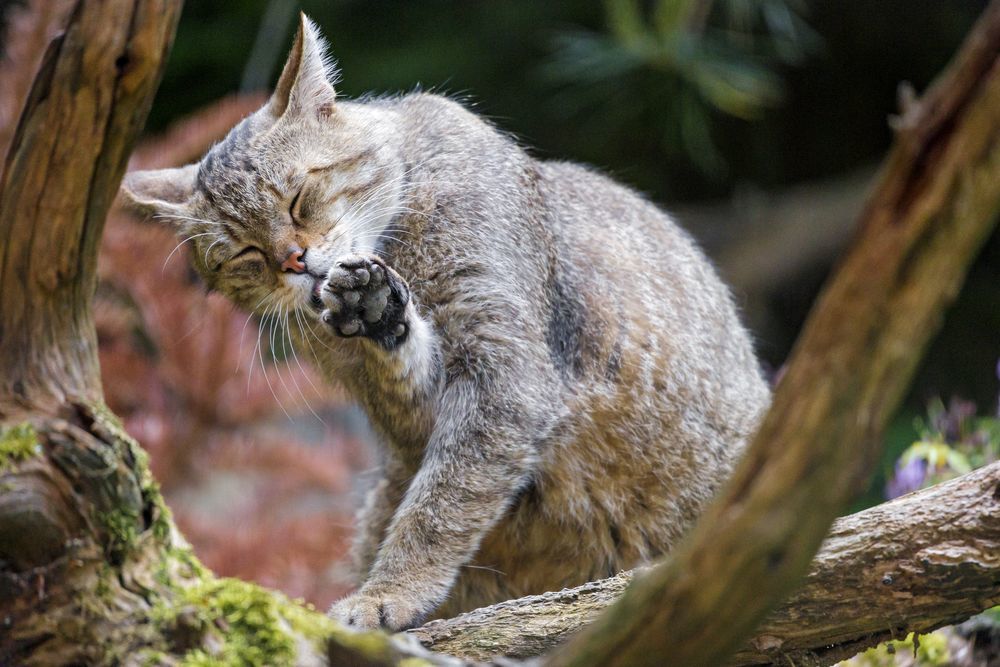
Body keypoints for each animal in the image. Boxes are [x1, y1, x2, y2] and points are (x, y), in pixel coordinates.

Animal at [121, 14, 768, 632]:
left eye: (298, 198)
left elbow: (441, 504)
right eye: (244, 254)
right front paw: (378, 311)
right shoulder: (411, 411)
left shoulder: (506, 367)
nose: (293, 261)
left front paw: (391, 592)